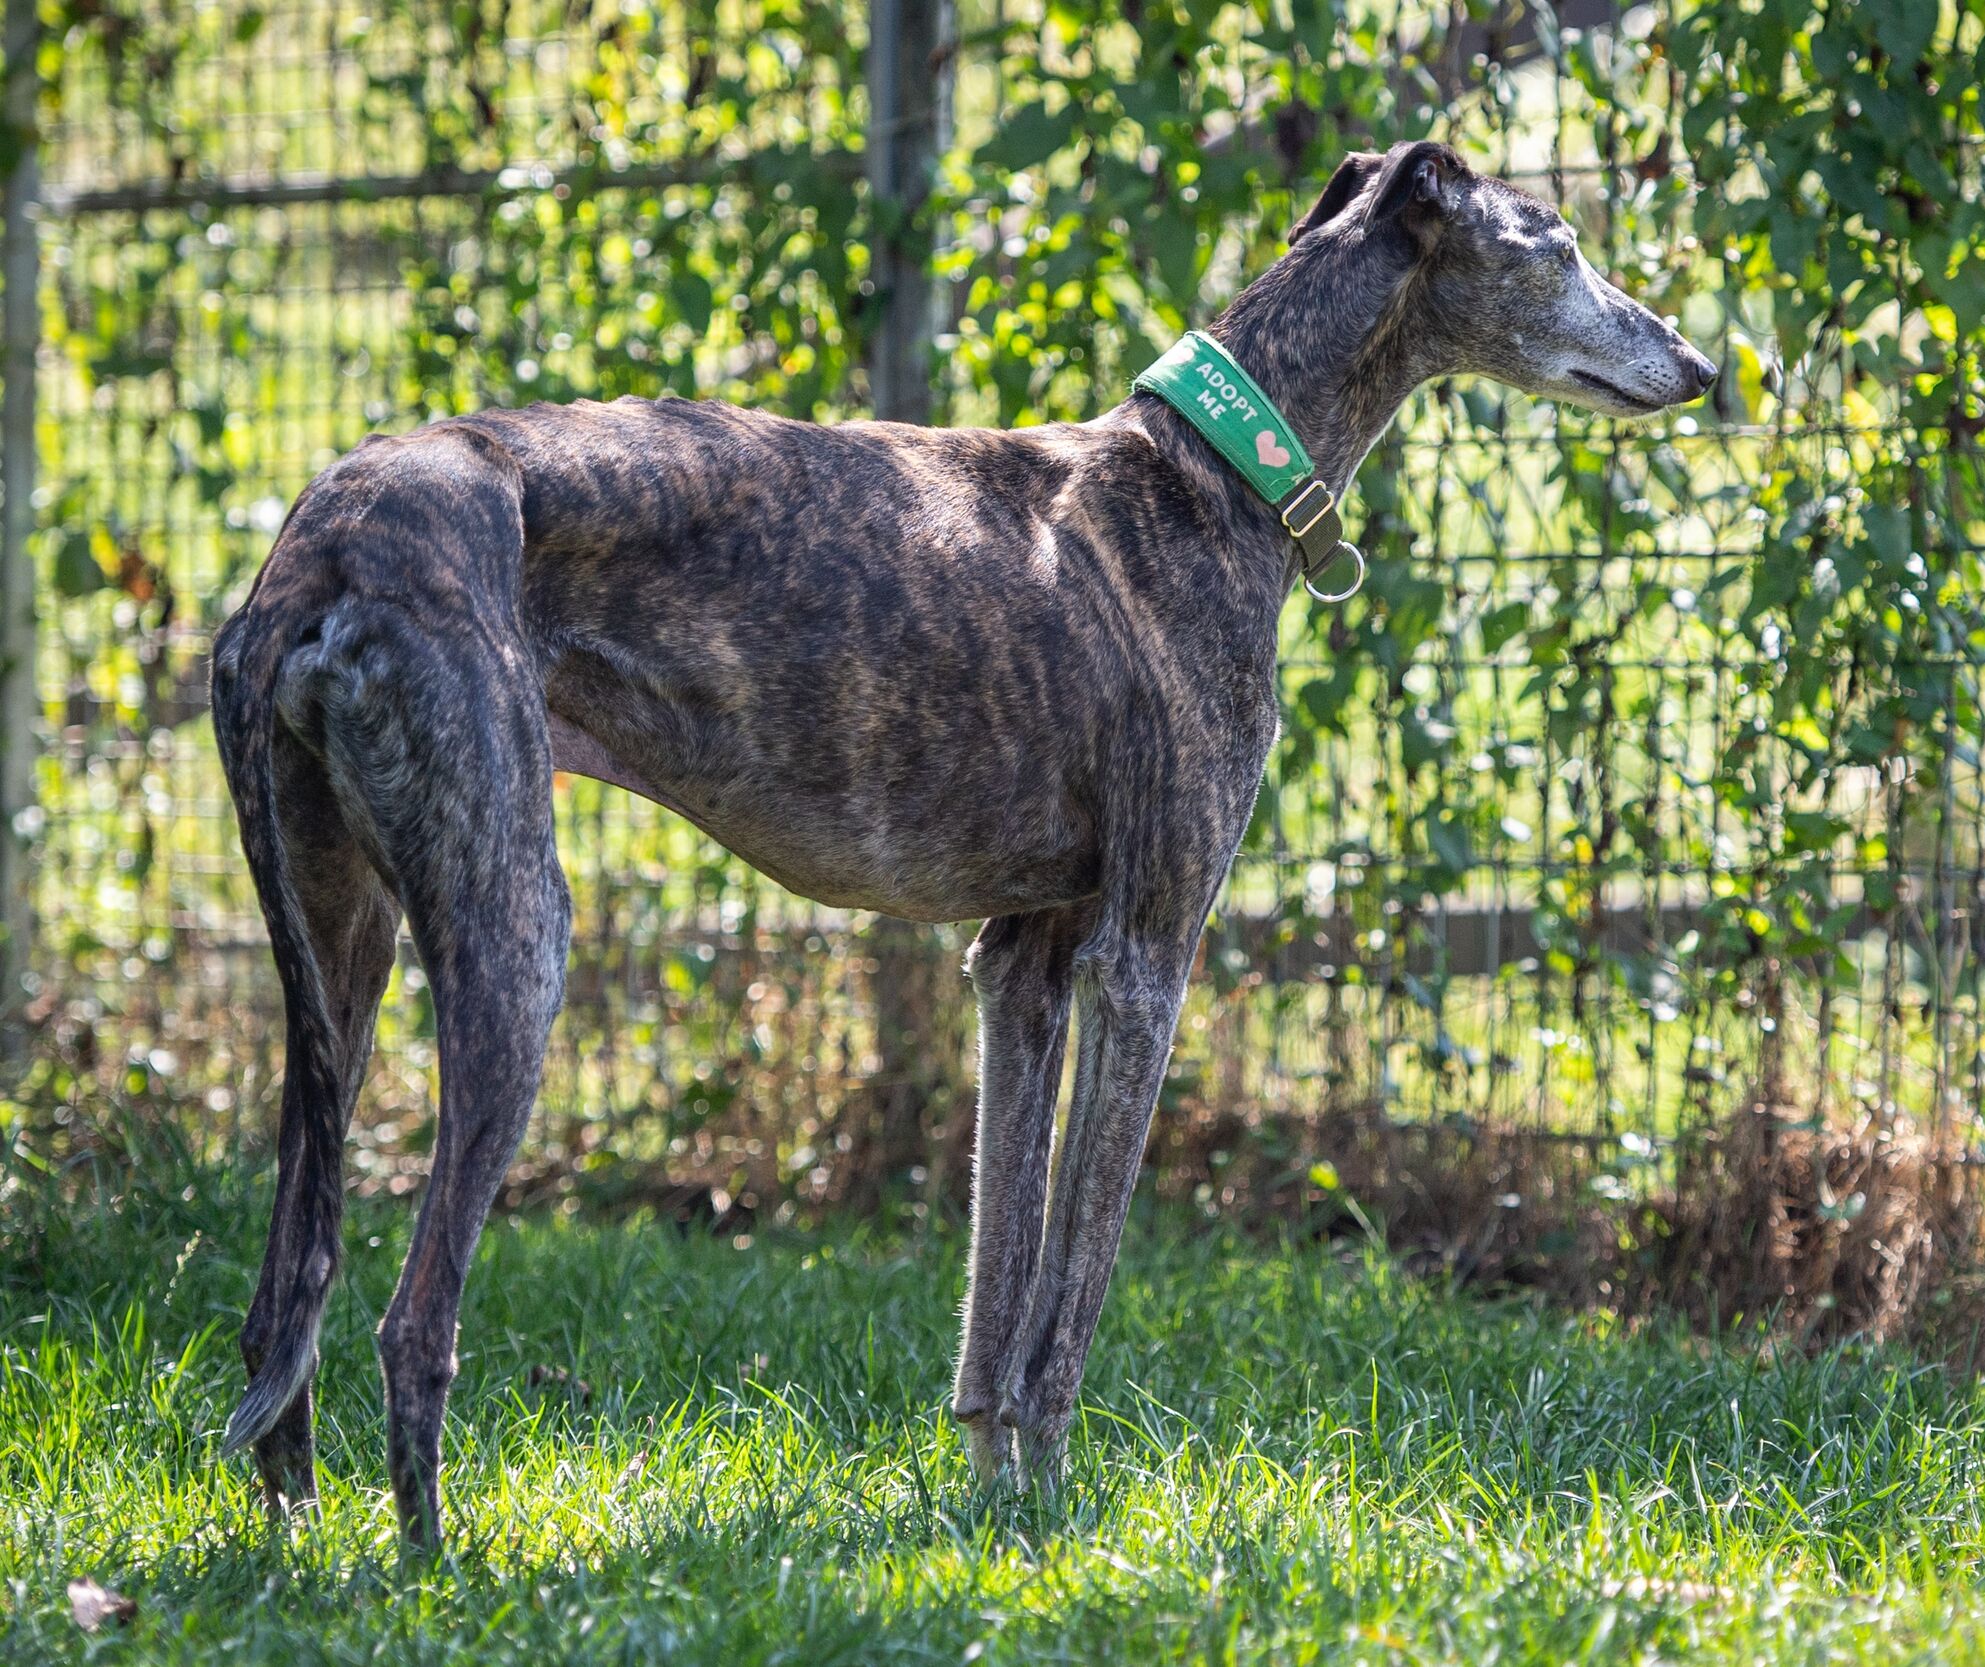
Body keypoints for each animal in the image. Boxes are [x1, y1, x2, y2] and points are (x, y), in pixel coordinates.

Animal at [209, 139, 1716, 1543]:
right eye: (1559, 246)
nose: (1702, 366)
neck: (1209, 475)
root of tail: (320, 542)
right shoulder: (1143, 955)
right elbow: (1072, 1288)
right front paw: (1056, 1507)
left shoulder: (1023, 960)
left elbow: (999, 1277)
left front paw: (997, 1505)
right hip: (513, 932)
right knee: (411, 1315)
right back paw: (431, 1563)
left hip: (337, 952)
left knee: (287, 1287)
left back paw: (295, 1538)